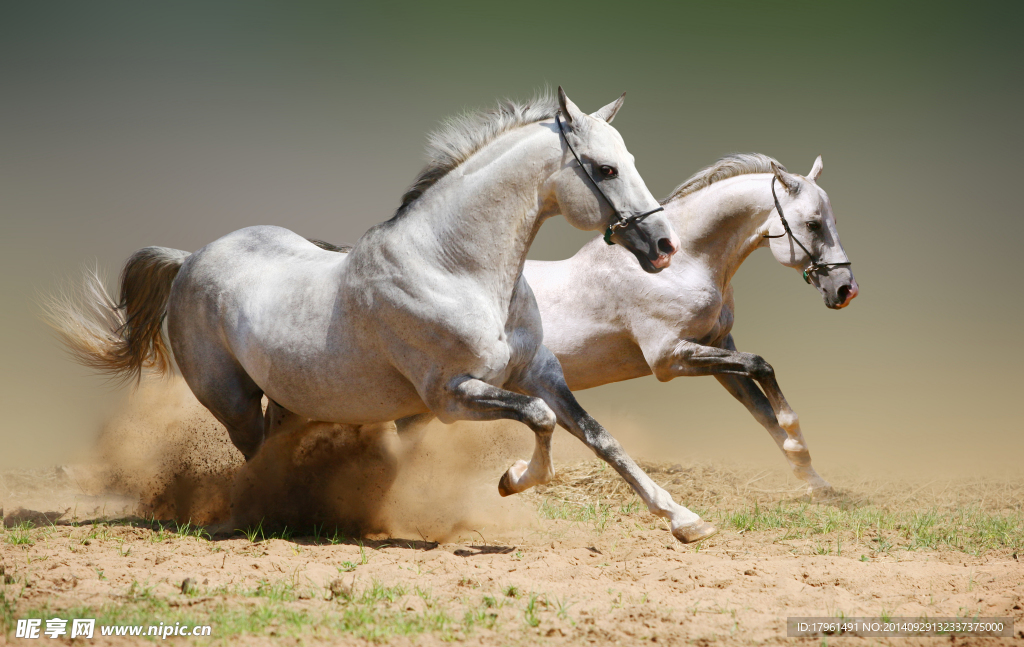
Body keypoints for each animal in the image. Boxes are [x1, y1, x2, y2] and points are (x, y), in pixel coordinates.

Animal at [49, 88, 720, 543]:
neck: (455, 268)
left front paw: (685, 520)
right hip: (231, 400)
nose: (663, 246)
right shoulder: (451, 396)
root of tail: (189, 259)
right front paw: (511, 479)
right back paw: (263, 515)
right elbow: (540, 421)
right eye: (605, 168)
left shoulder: (540, 374)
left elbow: (600, 437)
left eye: (627, 158)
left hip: (291, 399)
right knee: (254, 455)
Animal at [523, 153, 858, 497]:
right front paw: (797, 442)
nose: (846, 289)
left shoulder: (717, 347)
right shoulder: (669, 358)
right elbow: (761, 366)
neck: (682, 266)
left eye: (832, 221)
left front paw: (814, 480)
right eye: (813, 224)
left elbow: (762, 409)